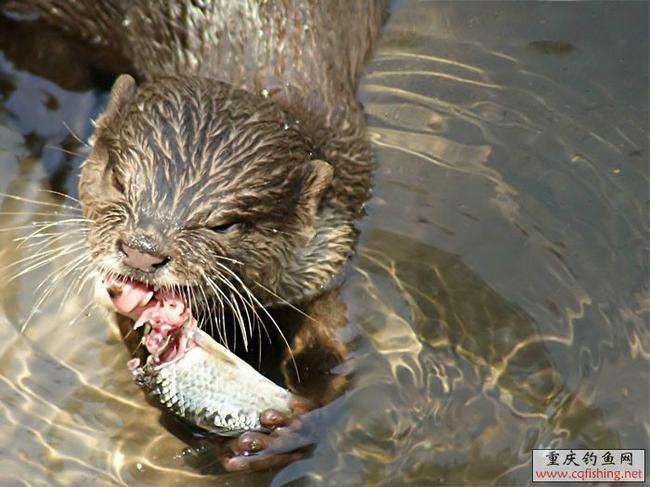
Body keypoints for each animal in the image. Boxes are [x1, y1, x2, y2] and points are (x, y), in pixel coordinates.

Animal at [6, 0, 384, 472]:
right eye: (118, 181)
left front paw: (294, 426)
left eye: (222, 225)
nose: (143, 250)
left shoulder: (329, 252)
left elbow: (329, 347)